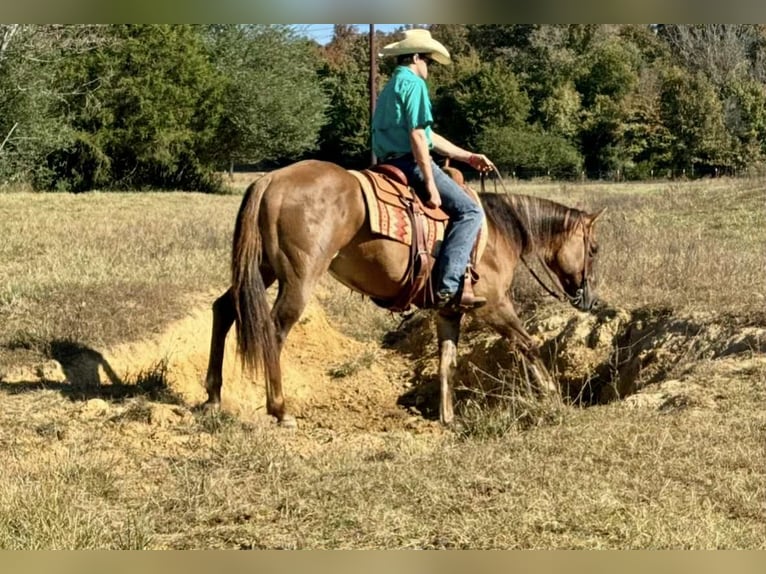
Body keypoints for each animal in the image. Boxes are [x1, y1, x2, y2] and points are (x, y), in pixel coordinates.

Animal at [203, 159, 605, 427]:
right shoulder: (493, 306)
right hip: (299, 278)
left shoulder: (449, 311)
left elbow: (447, 362)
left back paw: (212, 395)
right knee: (273, 330)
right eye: (594, 248)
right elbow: (528, 344)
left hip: (262, 268)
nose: (587, 299)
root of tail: (269, 181)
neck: (500, 230)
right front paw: (554, 398)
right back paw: (280, 410)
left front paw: (448, 418)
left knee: (224, 309)